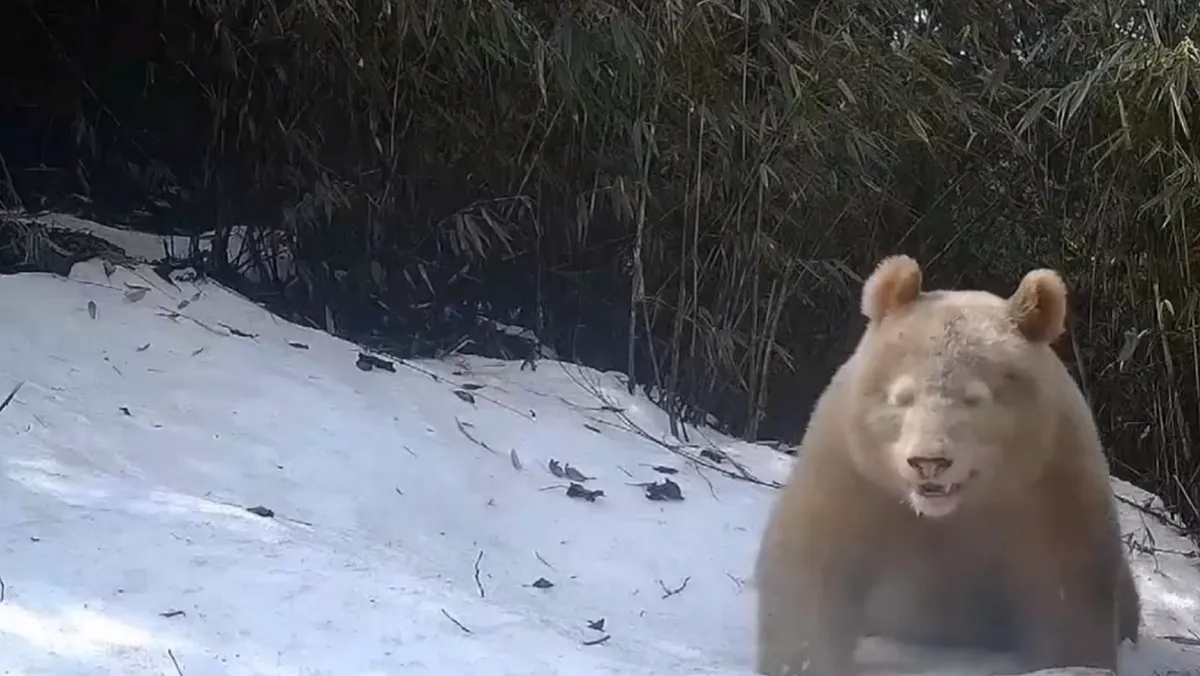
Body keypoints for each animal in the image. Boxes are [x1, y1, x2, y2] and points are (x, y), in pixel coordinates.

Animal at [753, 255, 1141, 676]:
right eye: (903, 396)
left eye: (974, 399)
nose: (929, 463)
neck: (952, 508)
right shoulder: (857, 474)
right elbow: (813, 568)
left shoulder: (1049, 487)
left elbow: (1068, 595)